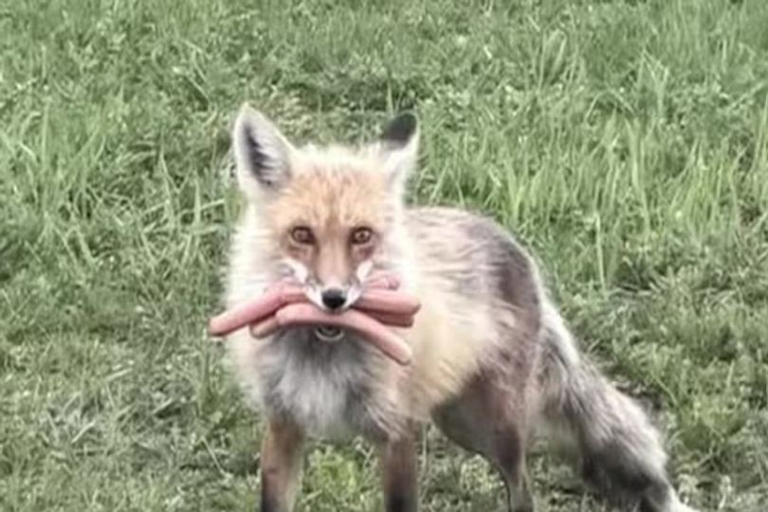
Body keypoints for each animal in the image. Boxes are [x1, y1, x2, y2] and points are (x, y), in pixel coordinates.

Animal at [217, 104, 698, 512]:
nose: (334, 299)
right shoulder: (283, 425)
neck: (323, 355)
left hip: (494, 427)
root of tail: (515, 247)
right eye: (302, 234)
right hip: (456, 419)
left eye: (361, 236)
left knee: (523, 492)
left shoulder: (396, 431)